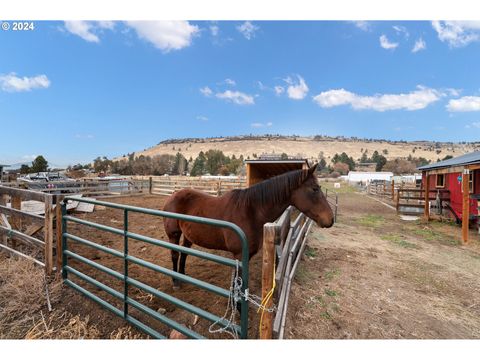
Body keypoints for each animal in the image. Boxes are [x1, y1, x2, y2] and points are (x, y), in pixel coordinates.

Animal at [163, 165, 332, 288]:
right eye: (315, 189)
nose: (330, 219)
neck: (251, 211)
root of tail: (172, 196)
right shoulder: (239, 255)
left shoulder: (246, 256)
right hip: (174, 235)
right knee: (175, 254)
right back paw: (175, 281)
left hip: (188, 235)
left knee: (184, 253)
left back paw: (182, 276)